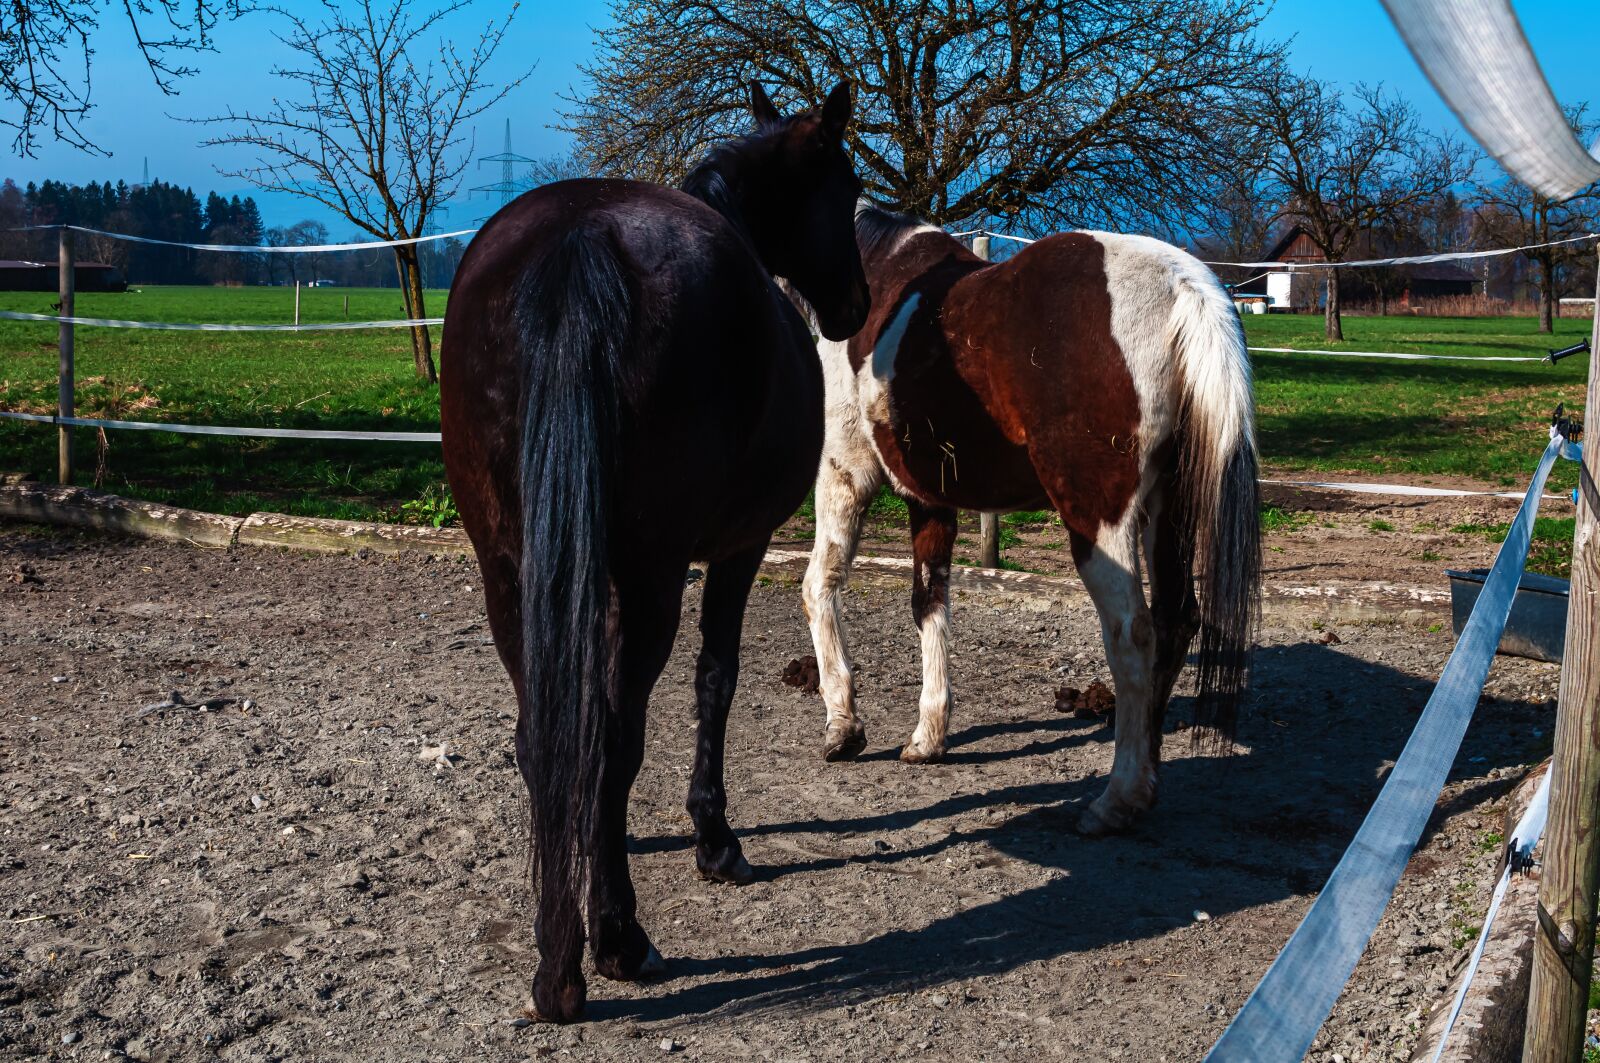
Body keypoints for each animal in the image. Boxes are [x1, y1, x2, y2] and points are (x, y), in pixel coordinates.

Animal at [440, 82, 869, 1023]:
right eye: (849, 187)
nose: (856, 304)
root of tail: (578, 240)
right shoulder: (738, 547)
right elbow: (715, 679)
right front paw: (714, 838)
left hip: (509, 569)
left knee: (544, 731)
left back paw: (559, 956)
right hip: (651, 576)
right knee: (617, 726)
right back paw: (614, 941)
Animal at [799, 204, 1260, 837]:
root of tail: (1183, 285)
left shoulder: (844, 473)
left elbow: (820, 584)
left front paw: (843, 727)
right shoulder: (930, 498)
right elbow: (929, 605)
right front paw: (928, 737)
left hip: (1101, 521)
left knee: (1133, 634)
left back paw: (1117, 799)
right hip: (1169, 509)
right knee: (1176, 622)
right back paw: (1146, 780)